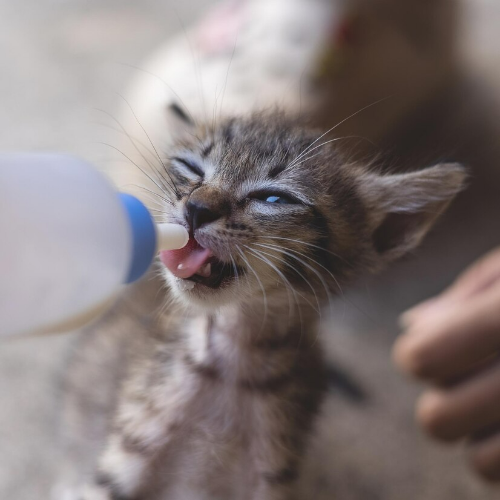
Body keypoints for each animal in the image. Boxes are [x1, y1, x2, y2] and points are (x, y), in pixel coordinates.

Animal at [60, 109, 466, 500]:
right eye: (190, 167)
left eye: (275, 198)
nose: (196, 208)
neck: (234, 363)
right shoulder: (122, 463)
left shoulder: (270, 477)